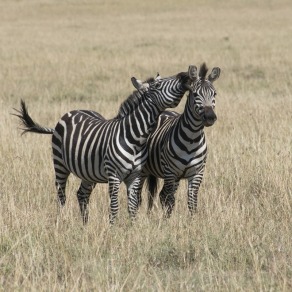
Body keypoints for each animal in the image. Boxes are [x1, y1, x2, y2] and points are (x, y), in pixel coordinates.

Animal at [14, 67, 196, 225]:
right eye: (158, 85)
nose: (185, 76)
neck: (136, 138)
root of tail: (71, 112)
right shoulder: (114, 175)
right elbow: (114, 206)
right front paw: (112, 229)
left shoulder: (135, 175)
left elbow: (132, 206)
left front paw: (132, 229)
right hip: (60, 165)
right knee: (61, 196)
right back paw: (60, 223)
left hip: (88, 173)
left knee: (82, 194)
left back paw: (85, 226)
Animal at [135, 63, 221, 217]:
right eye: (195, 94)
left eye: (214, 94)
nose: (210, 117)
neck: (192, 138)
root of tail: (163, 111)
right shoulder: (170, 172)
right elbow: (170, 200)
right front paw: (168, 221)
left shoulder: (197, 173)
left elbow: (192, 202)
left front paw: (192, 220)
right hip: (147, 171)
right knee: (144, 197)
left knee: (161, 195)